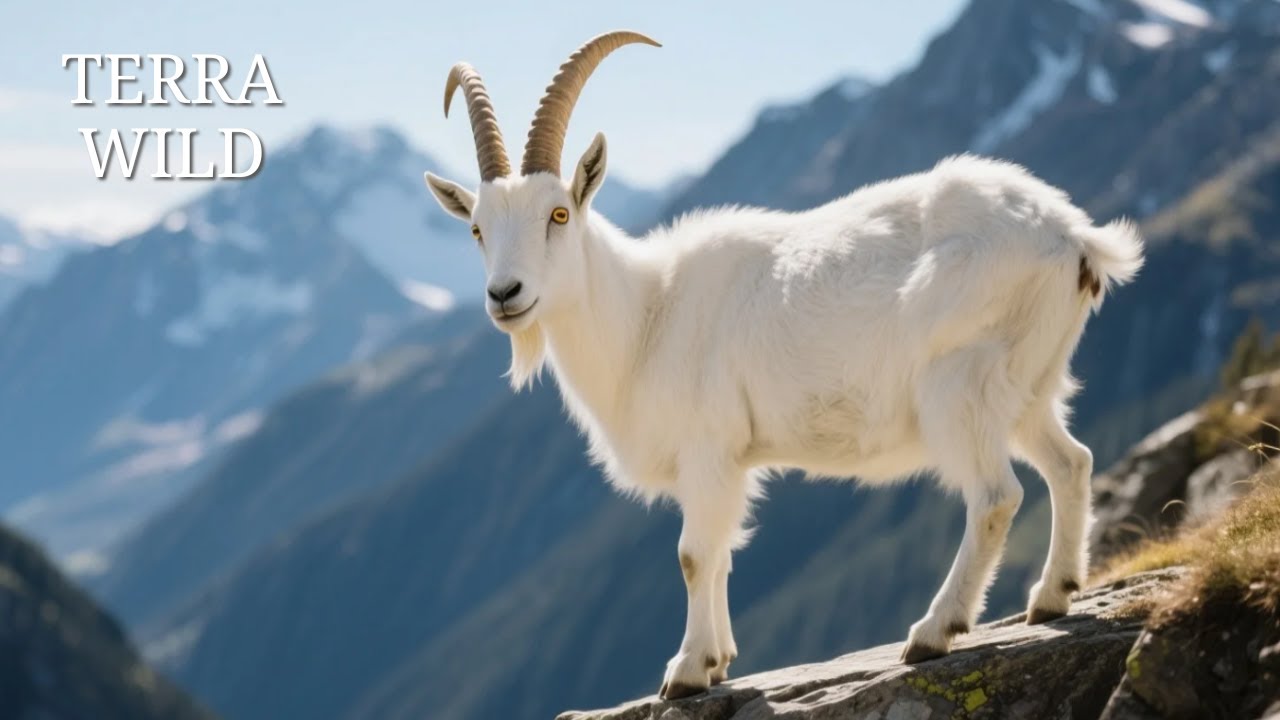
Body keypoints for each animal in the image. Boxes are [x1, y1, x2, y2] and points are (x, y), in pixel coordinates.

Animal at [423, 31, 1144, 700]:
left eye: (559, 213)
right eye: (477, 229)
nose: (505, 295)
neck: (649, 313)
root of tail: (1074, 238)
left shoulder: (708, 447)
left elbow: (692, 555)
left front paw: (686, 672)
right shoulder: (727, 461)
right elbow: (718, 556)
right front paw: (718, 662)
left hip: (959, 382)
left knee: (996, 496)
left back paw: (933, 632)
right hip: (1029, 383)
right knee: (1071, 461)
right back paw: (1051, 596)